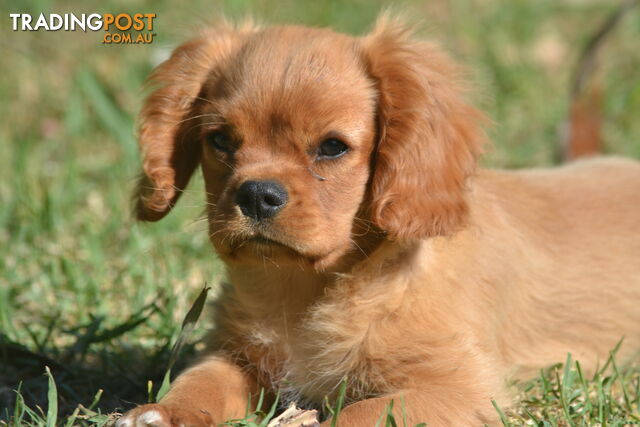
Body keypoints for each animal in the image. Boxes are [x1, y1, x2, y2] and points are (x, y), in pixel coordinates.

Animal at [116, 17, 640, 427]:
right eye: (221, 140)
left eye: (332, 147)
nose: (256, 195)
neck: (305, 290)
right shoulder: (235, 353)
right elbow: (201, 380)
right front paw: (163, 413)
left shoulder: (460, 386)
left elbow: (359, 414)